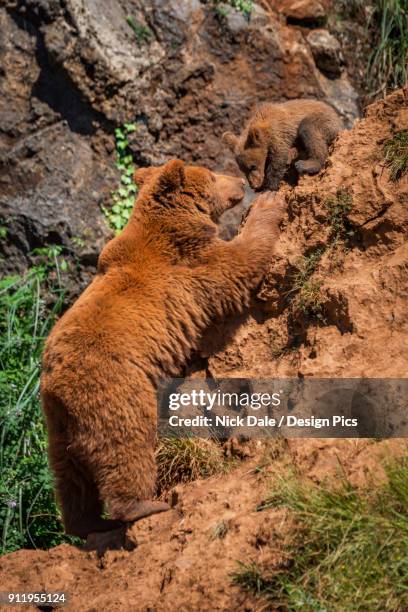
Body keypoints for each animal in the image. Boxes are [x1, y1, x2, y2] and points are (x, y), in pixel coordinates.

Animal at [40, 160, 284, 536]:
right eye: (211, 174)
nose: (241, 182)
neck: (173, 223)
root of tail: (57, 388)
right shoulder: (189, 265)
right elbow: (238, 262)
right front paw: (269, 204)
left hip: (57, 426)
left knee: (71, 478)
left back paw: (87, 524)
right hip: (116, 389)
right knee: (126, 444)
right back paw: (142, 505)